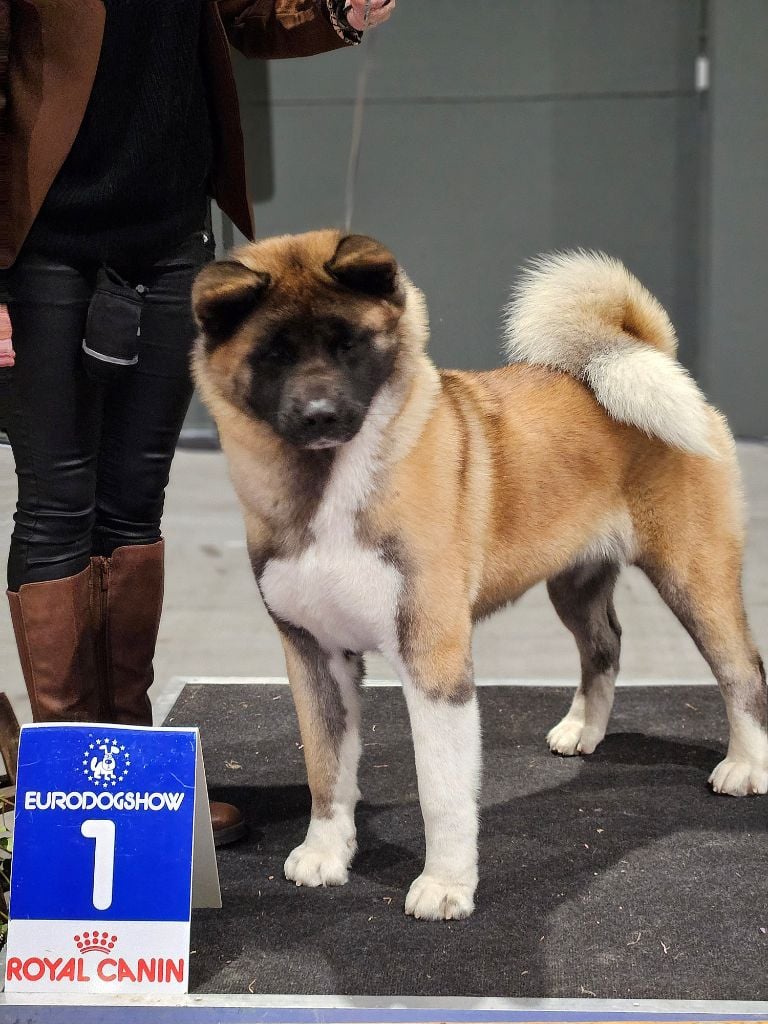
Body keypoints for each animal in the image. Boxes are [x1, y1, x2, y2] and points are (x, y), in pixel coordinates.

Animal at [191, 231, 767, 920]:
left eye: (349, 345)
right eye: (274, 353)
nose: (321, 413)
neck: (328, 489)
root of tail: (639, 356)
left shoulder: (433, 660)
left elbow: (440, 790)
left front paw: (445, 885)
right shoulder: (314, 656)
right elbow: (326, 770)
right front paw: (326, 854)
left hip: (693, 572)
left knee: (741, 670)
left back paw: (747, 767)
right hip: (574, 582)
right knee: (604, 645)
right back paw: (583, 729)